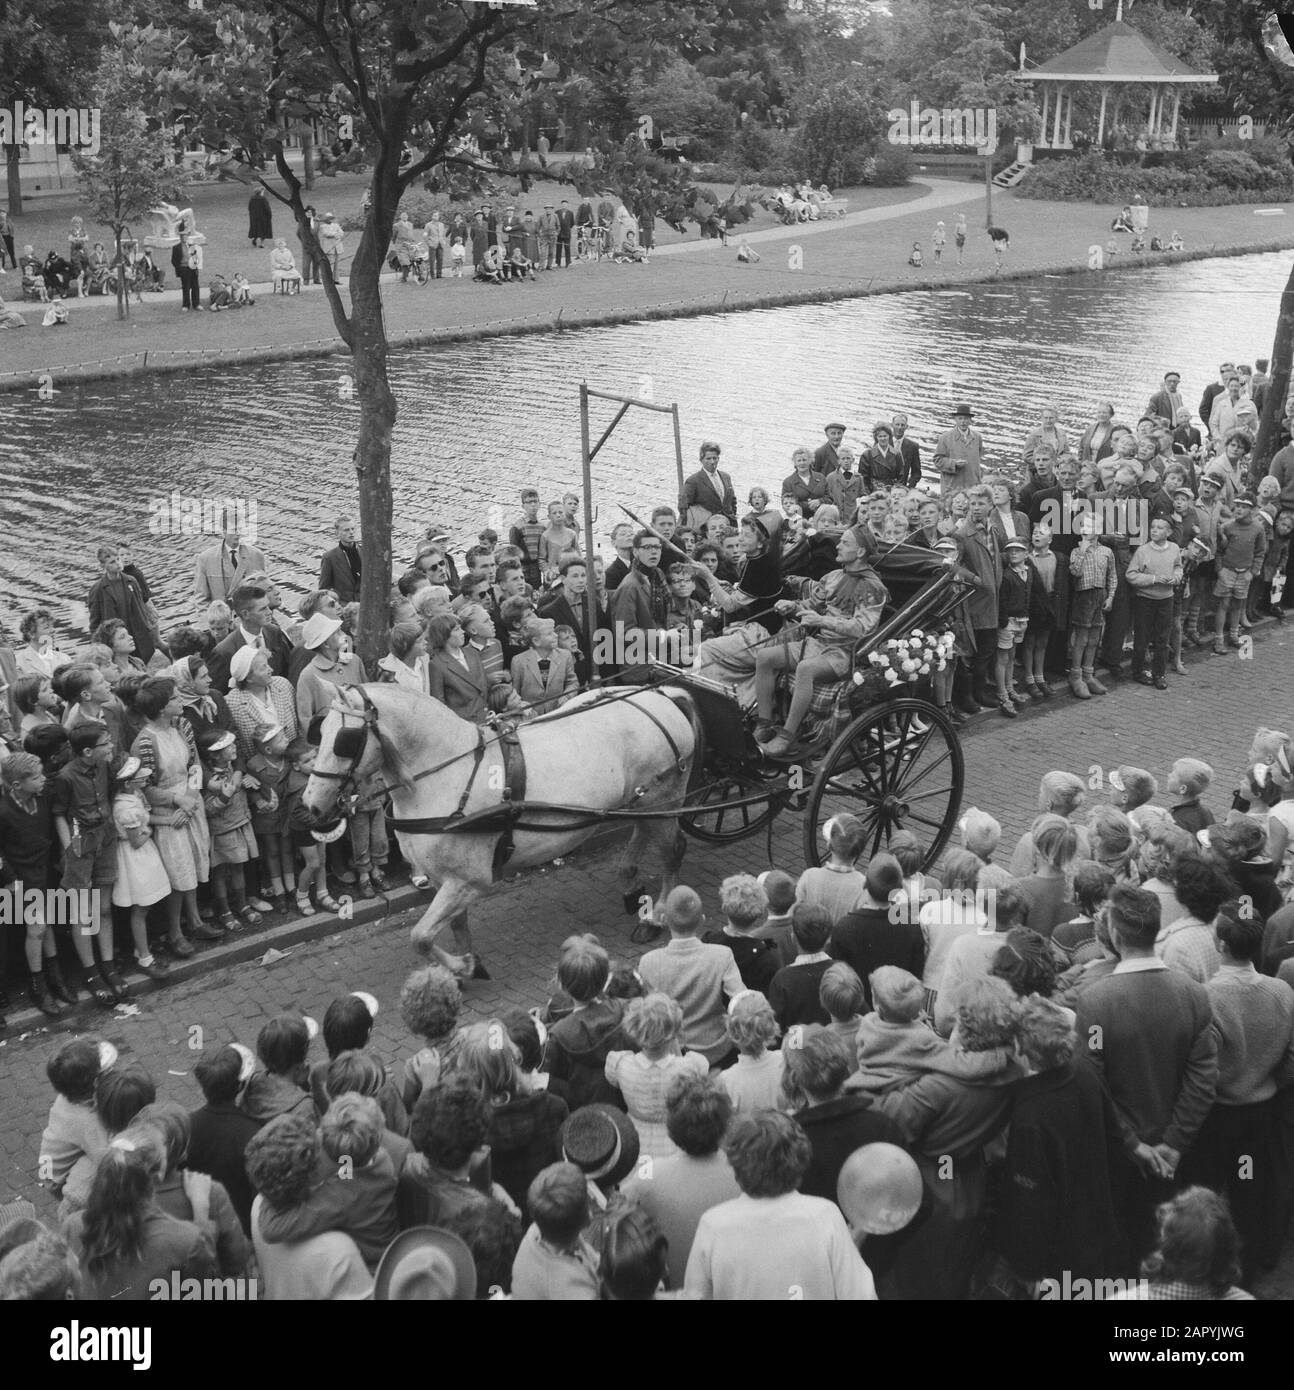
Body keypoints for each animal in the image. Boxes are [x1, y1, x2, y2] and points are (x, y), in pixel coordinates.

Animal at [302, 678, 697, 973]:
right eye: (319, 732)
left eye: (344, 741)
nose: (311, 804)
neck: (447, 773)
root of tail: (661, 696)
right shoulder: (444, 879)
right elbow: (454, 925)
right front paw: (468, 963)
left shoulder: (470, 880)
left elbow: (421, 936)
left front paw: (461, 966)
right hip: (641, 801)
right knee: (643, 832)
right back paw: (632, 888)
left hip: (665, 795)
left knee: (672, 850)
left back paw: (657, 917)